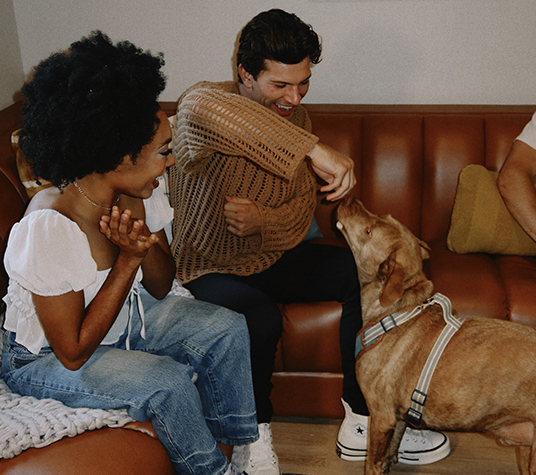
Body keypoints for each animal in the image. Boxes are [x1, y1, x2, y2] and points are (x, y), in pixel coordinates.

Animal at [338, 195, 536, 474]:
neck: (398, 309)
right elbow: (392, 448)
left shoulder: (381, 415)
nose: (349, 197)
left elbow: (373, 463)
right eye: (383, 215)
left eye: (369, 231)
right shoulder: (399, 416)